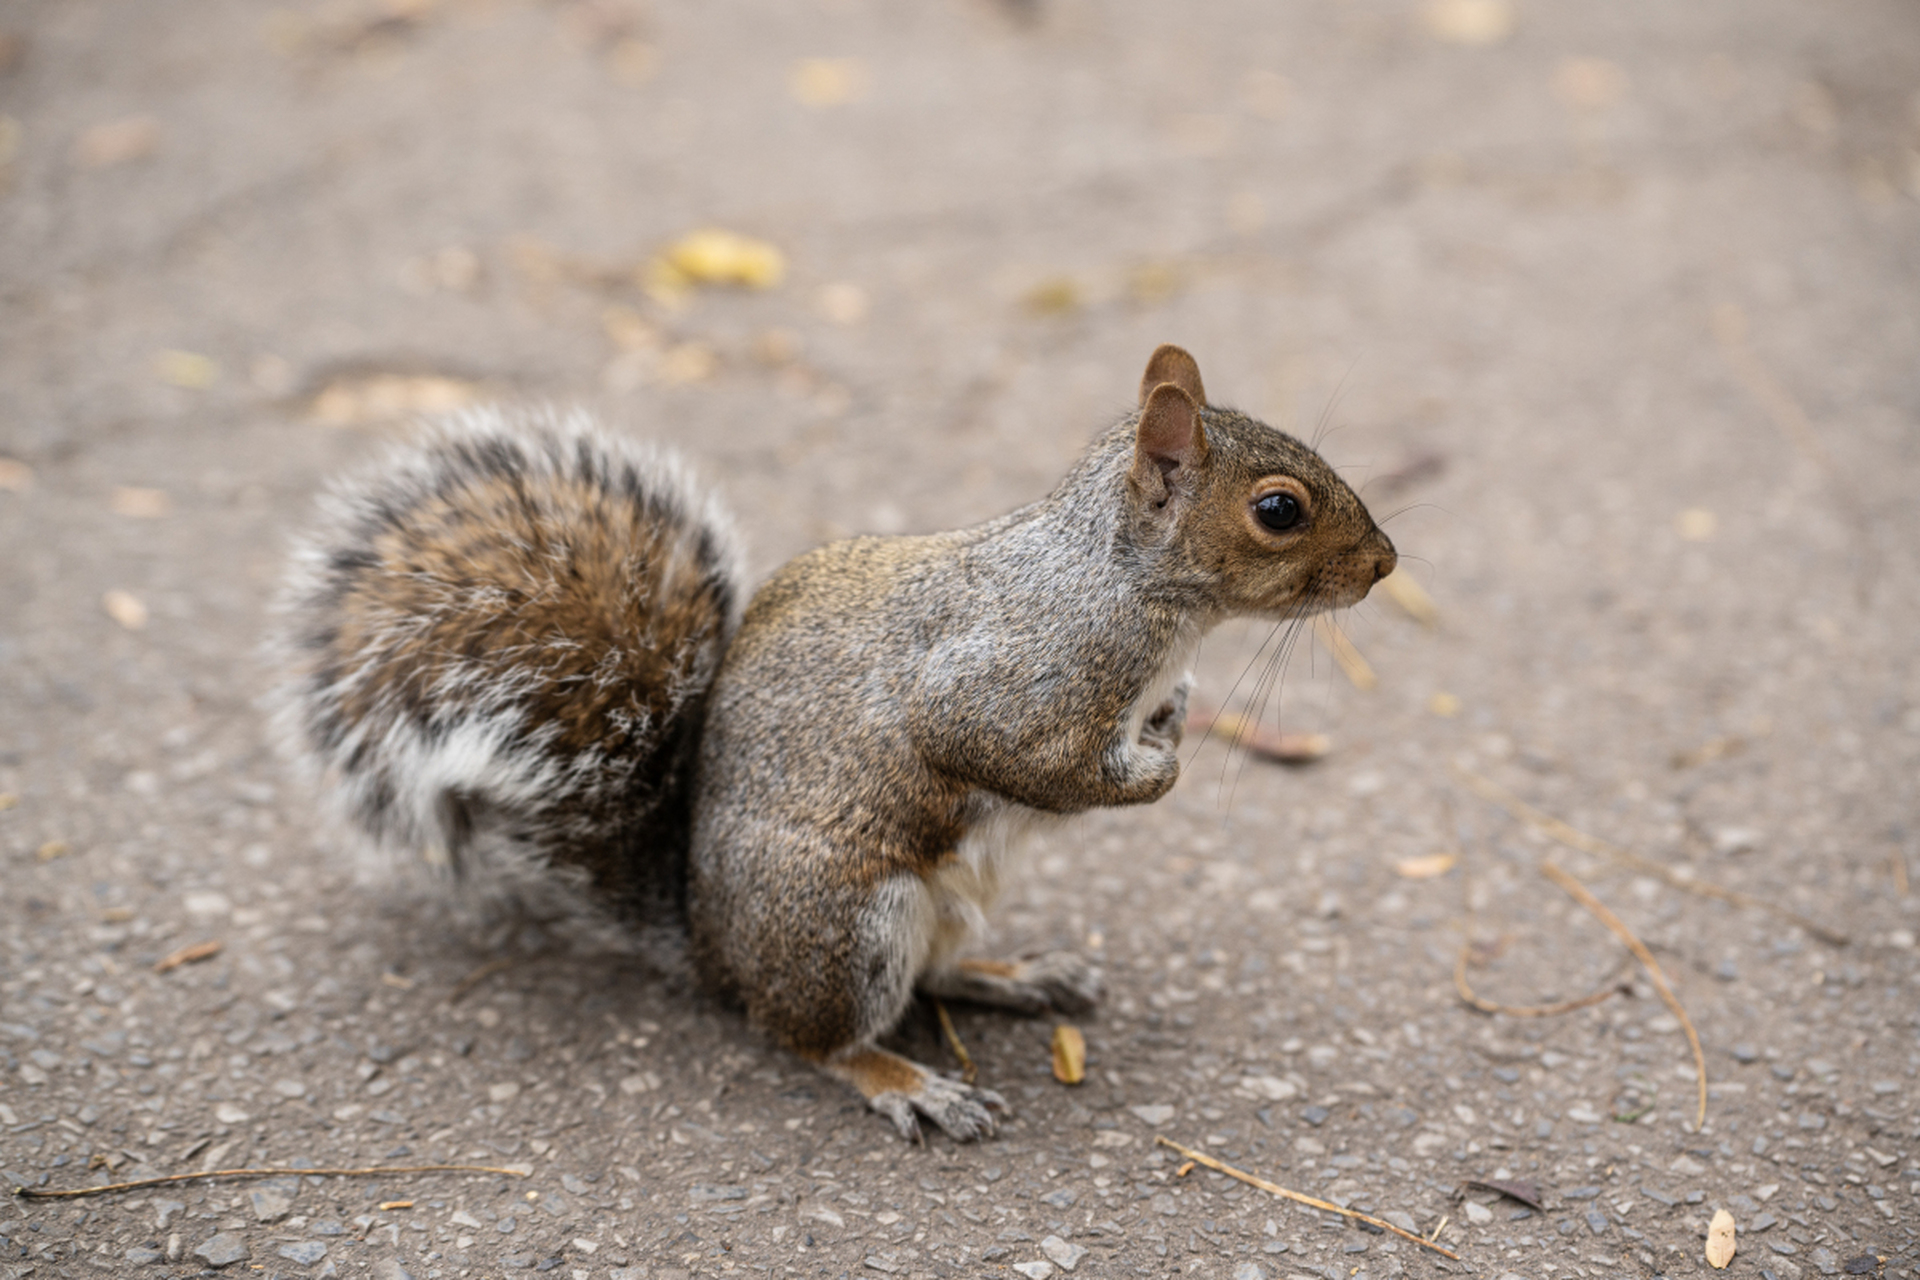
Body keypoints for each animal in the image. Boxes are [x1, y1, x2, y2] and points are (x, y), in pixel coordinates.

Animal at [274, 343, 1397, 1143]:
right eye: (1279, 510)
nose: (1387, 563)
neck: (1125, 584)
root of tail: (711, 950)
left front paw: (1176, 715)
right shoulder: (1002, 686)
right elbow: (1027, 759)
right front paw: (1156, 769)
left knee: (935, 976)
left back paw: (1014, 974)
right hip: (847, 922)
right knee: (810, 1036)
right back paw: (907, 1082)